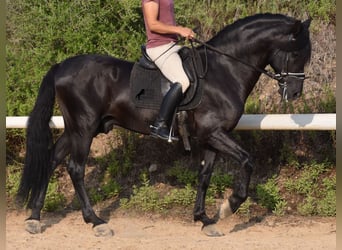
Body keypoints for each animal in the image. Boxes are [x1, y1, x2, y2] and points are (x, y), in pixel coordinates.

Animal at [16, 13, 312, 236]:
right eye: (297, 52)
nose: (295, 93)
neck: (224, 71)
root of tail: (61, 66)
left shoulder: (211, 138)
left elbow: (205, 176)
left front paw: (204, 219)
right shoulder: (214, 133)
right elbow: (248, 161)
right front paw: (229, 206)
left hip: (76, 128)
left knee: (52, 159)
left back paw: (34, 218)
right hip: (84, 128)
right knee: (75, 168)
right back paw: (96, 222)